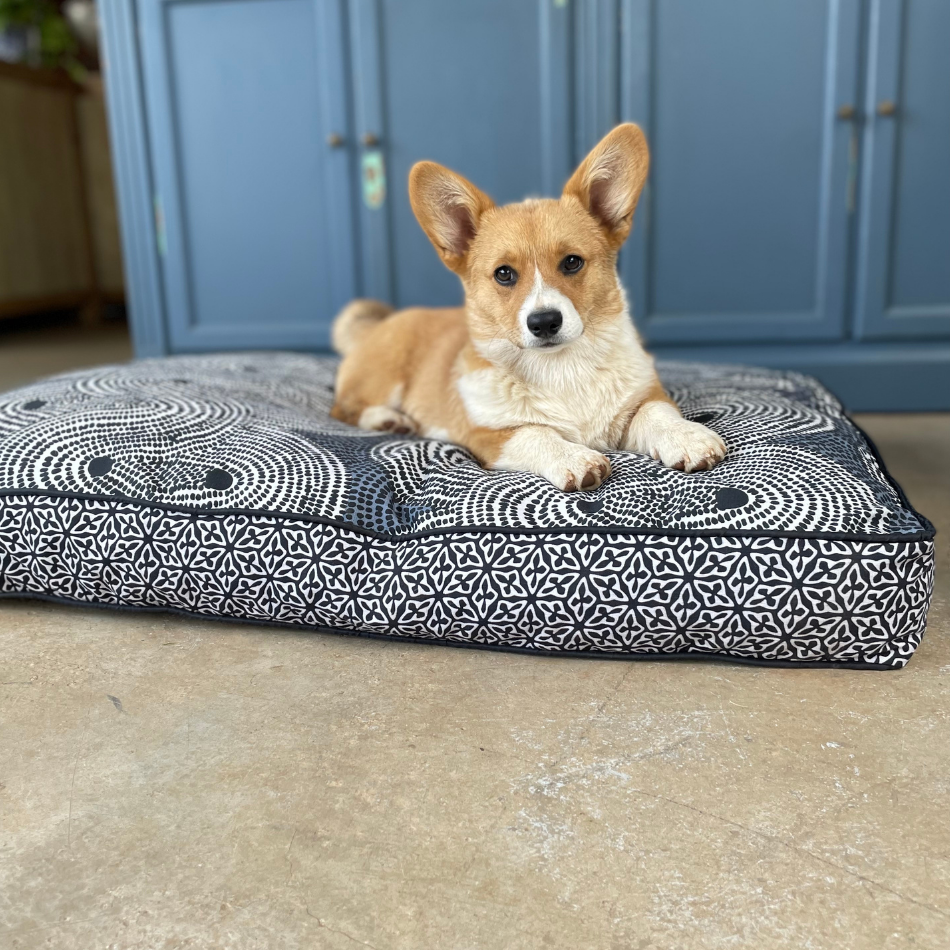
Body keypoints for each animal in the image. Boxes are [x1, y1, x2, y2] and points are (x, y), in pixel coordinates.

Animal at [330, 123, 724, 494]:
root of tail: (377, 325)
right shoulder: (490, 435)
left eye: (571, 262)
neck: (562, 368)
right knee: (343, 406)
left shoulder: (644, 398)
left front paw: (688, 437)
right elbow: (536, 433)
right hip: (385, 377)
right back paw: (386, 419)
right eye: (504, 274)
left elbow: (657, 413)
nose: (545, 322)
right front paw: (575, 458)